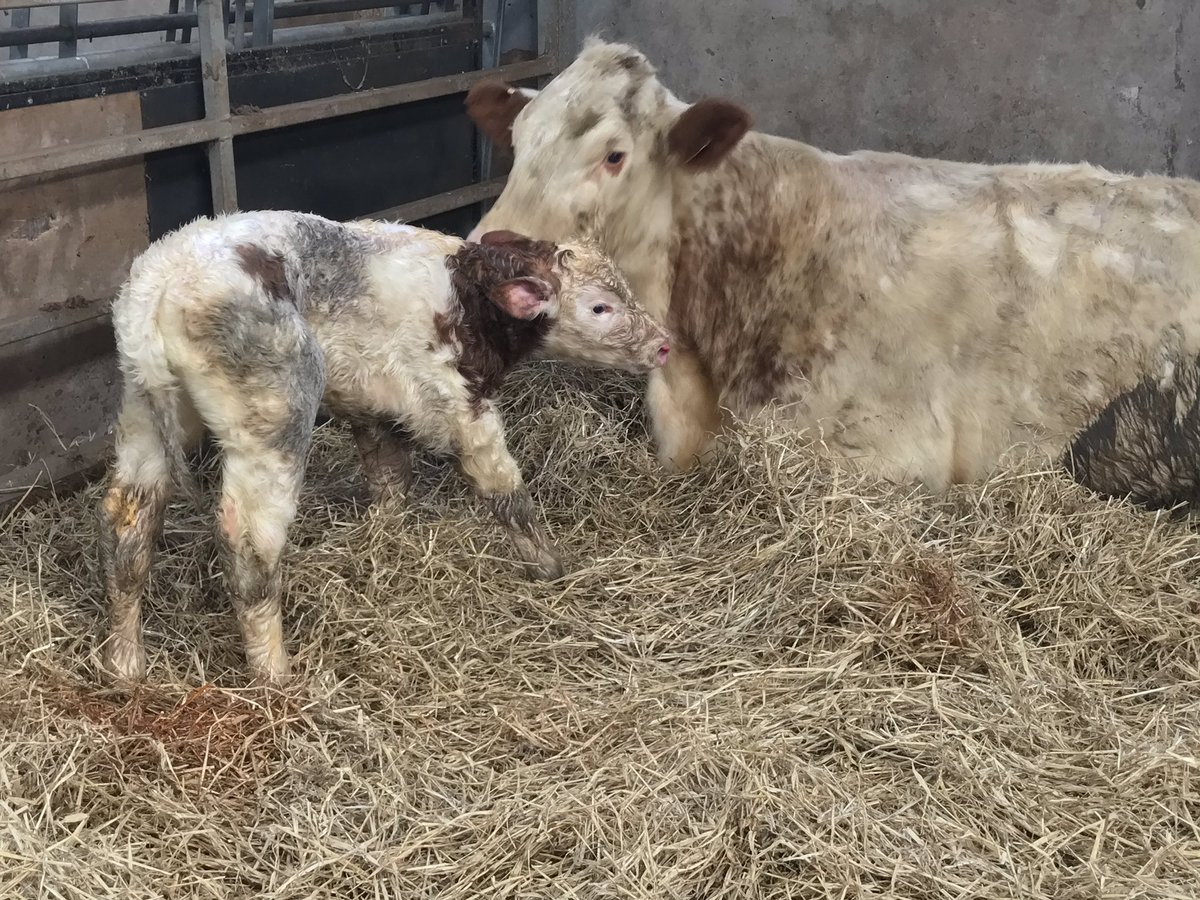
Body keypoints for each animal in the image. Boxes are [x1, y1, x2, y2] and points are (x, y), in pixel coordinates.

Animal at [98, 211, 670, 684]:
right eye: (600, 306)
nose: (664, 344)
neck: (468, 295)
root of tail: (161, 284)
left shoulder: (375, 408)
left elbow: (390, 478)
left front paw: (385, 537)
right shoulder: (465, 407)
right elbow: (506, 491)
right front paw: (551, 567)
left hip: (143, 416)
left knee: (130, 523)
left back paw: (125, 665)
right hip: (272, 417)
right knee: (248, 543)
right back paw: (275, 674)